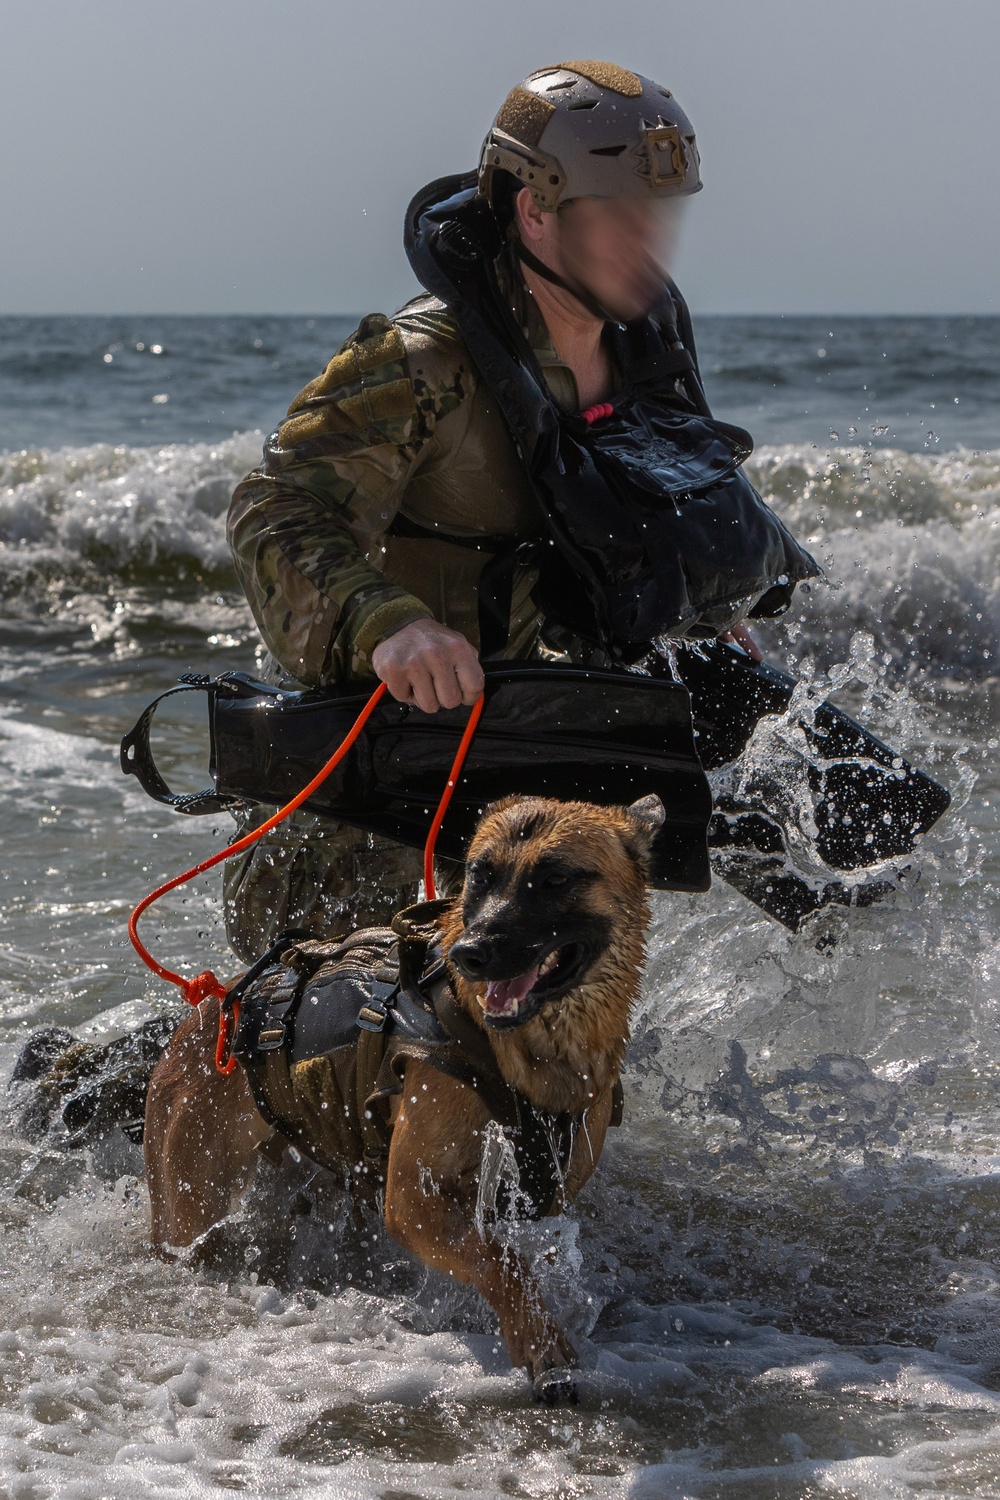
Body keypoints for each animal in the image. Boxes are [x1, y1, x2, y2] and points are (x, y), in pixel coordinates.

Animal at [144, 792, 665, 1398]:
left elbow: (521, 1252)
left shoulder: (544, 1194)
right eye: (480, 876)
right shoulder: (413, 1202)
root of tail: (206, 1015)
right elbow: (500, 1260)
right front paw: (540, 1342)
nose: (470, 954)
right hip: (191, 1199)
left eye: (555, 878)